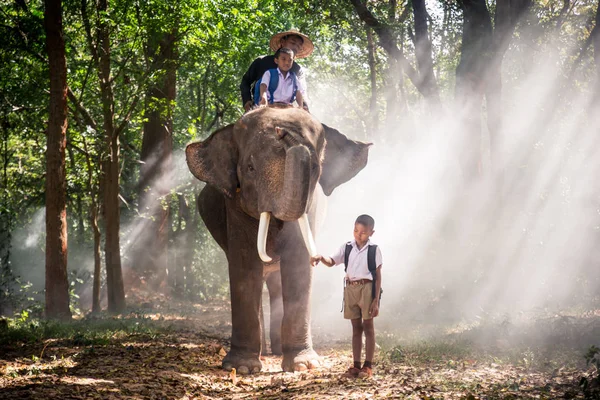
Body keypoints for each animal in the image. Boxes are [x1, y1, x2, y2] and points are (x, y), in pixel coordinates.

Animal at [185, 104, 370, 374]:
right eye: (250, 168)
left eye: (315, 168)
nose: (284, 132)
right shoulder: (235, 205)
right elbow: (245, 264)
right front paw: (242, 368)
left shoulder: (311, 207)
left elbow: (298, 264)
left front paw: (303, 366)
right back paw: (263, 352)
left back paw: (278, 350)